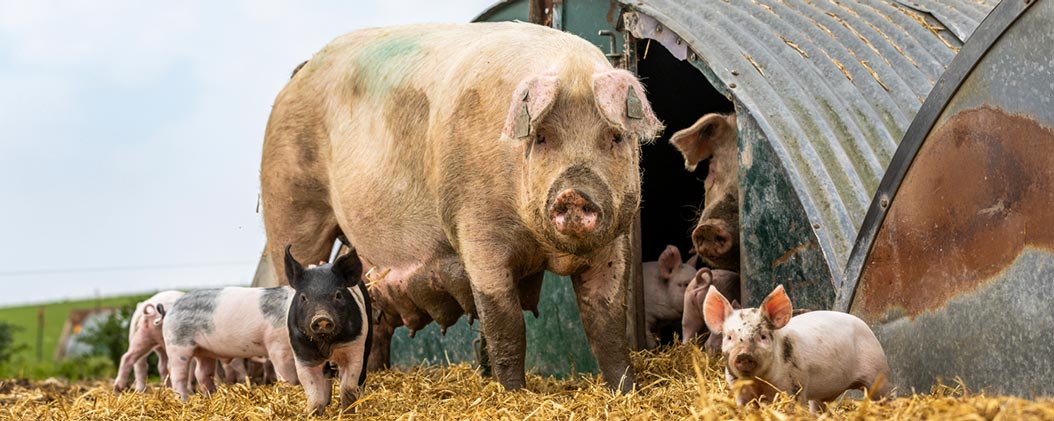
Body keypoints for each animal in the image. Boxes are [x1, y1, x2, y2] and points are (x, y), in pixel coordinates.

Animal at [163, 246, 371, 416]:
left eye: (338, 295)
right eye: (303, 297)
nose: (321, 319)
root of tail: (171, 308)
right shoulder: (278, 347)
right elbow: (288, 377)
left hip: (203, 352)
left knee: (202, 373)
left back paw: (210, 396)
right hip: (177, 345)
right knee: (177, 374)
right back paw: (184, 400)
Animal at [259, 22, 661, 392]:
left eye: (614, 136)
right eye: (543, 137)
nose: (574, 194)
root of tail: (298, 76)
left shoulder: (614, 242)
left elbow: (607, 323)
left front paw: (626, 391)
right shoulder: (477, 231)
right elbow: (505, 325)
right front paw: (514, 394)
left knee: (370, 314)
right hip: (290, 201)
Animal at [703, 284, 891, 410]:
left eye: (763, 336)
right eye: (729, 337)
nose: (744, 355)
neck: (759, 382)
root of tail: (865, 326)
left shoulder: (794, 386)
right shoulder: (740, 392)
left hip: (879, 373)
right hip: (823, 393)